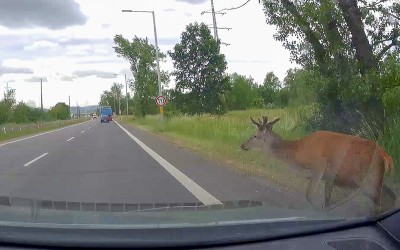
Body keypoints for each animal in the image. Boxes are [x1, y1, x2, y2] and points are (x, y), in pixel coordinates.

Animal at [239, 116, 396, 214]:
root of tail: (385, 155)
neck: (297, 153)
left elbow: (309, 195)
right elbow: (327, 200)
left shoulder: (319, 166)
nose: (242, 145)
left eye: (255, 136)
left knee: (382, 201)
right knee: (390, 197)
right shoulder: (329, 177)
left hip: (369, 179)